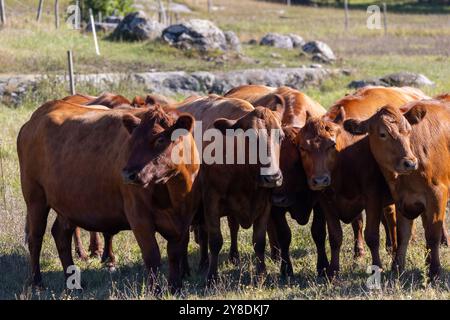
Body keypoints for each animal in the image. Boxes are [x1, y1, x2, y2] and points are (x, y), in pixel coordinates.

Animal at [18, 101, 199, 292]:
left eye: (160, 139)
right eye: (131, 140)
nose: (128, 174)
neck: (173, 192)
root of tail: (42, 111)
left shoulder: (184, 219)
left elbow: (175, 254)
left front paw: (175, 287)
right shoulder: (139, 216)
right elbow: (152, 256)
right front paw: (154, 290)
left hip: (66, 204)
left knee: (61, 235)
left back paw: (73, 283)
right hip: (35, 197)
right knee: (35, 239)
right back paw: (37, 282)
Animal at [178, 94, 284, 280]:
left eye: (281, 137)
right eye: (250, 138)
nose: (273, 177)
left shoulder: (264, 204)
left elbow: (259, 241)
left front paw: (261, 273)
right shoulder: (211, 201)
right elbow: (215, 241)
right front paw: (212, 276)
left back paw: (231, 257)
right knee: (194, 237)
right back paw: (191, 267)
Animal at [296, 85, 428, 278]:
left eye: (331, 145)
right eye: (303, 148)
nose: (319, 180)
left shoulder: (372, 196)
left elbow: (372, 236)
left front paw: (377, 266)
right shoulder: (326, 200)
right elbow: (335, 236)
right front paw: (333, 270)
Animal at [342, 100, 448, 278]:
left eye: (409, 131)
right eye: (383, 134)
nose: (410, 163)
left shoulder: (438, 194)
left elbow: (433, 235)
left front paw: (434, 271)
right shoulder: (401, 199)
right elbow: (402, 234)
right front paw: (397, 267)